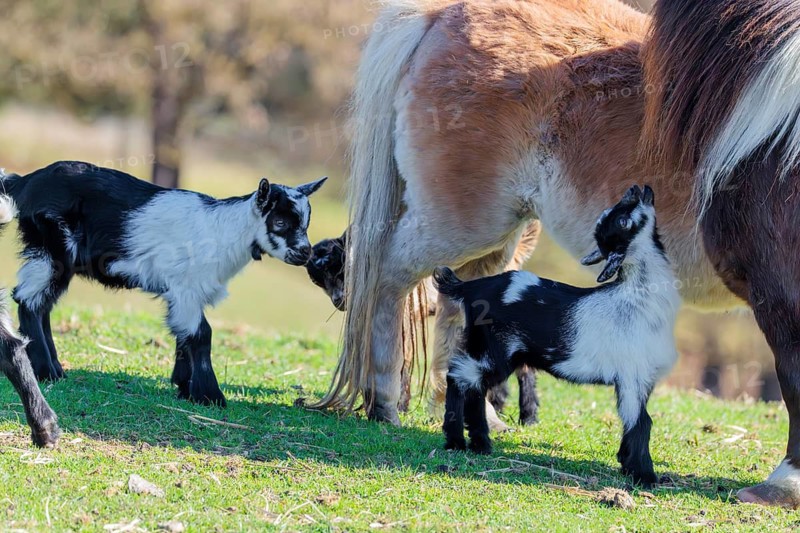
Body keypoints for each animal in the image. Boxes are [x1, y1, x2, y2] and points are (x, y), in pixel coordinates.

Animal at [1, 161, 326, 407]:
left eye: (306, 223)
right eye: (280, 223)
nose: (305, 253)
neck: (223, 231)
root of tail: (24, 182)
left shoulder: (182, 294)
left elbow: (183, 333)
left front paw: (184, 386)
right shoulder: (186, 288)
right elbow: (201, 334)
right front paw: (210, 396)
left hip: (59, 259)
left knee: (43, 303)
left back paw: (53, 367)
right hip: (52, 249)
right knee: (28, 299)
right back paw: (47, 371)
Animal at [435, 186, 680, 486]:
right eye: (622, 221)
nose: (638, 188)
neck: (638, 295)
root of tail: (470, 288)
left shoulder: (639, 380)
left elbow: (634, 419)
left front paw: (626, 463)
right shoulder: (633, 374)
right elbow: (641, 421)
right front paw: (645, 476)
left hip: (485, 349)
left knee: (470, 382)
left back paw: (477, 444)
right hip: (495, 351)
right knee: (459, 376)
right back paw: (459, 441)